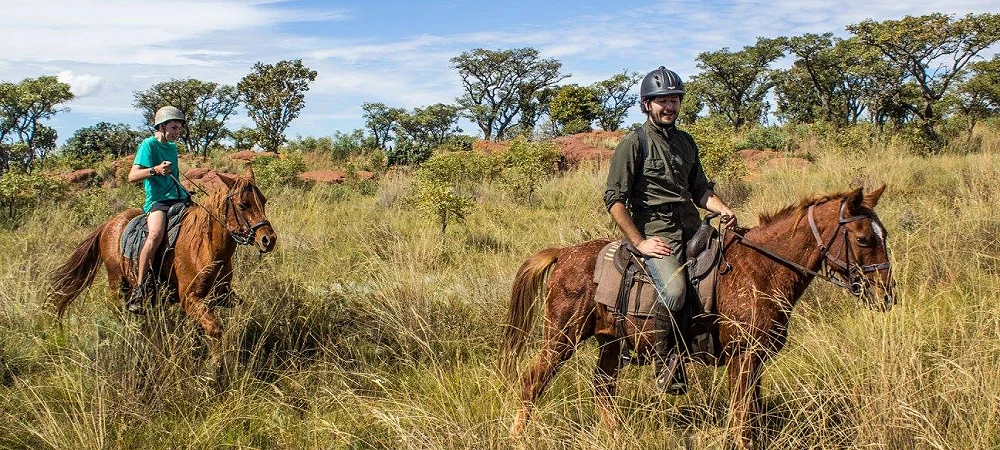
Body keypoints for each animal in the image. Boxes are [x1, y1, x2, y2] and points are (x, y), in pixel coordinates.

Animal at [50, 166, 277, 342]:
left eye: (264, 200)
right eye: (243, 205)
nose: (269, 239)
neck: (206, 248)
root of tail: (109, 224)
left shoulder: (219, 297)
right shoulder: (190, 300)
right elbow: (216, 330)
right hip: (117, 281)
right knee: (117, 308)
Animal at [500, 185, 895, 448]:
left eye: (884, 234)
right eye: (863, 239)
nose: (886, 294)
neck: (761, 269)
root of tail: (563, 254)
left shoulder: (756, 359)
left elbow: (753, 411)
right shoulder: (742, 356)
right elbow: (742, 415)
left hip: (609, 340)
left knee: (602, 386)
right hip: (562, 337)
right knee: (533, 380)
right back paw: (517, 435)